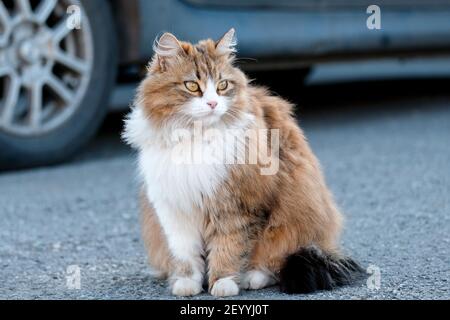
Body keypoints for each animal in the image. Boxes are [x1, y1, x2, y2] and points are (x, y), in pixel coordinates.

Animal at [122, 28, 362, 298]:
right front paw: (187, 284)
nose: (213, 103)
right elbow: (186, 255)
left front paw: (223, 283)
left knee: (272, 262)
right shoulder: (173, 210)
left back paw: (251, 278)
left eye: (222, 85)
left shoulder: (236, 207)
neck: (197, 138)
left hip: (292, 221)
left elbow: (228, 248)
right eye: (192, 86)